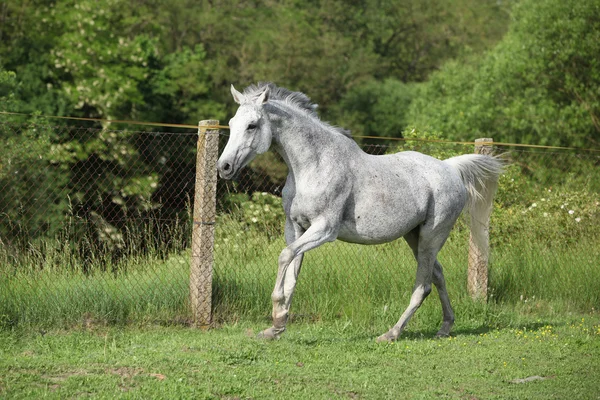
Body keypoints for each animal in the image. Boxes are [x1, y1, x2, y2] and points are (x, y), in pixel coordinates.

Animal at [216, 83, 502, 342]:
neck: (314, 165)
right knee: (439, 275)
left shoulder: (324, 229)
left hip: (432, 237)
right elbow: (291, 273)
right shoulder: (295, 228)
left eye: (252, 125)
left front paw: (277, 315)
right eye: (231, 123)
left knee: (423, 287)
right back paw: (445, 327)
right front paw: (276, 327)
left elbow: (284, 257)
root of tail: (450, 168)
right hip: (415, 237)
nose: (224, 167)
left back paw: (391, 334)